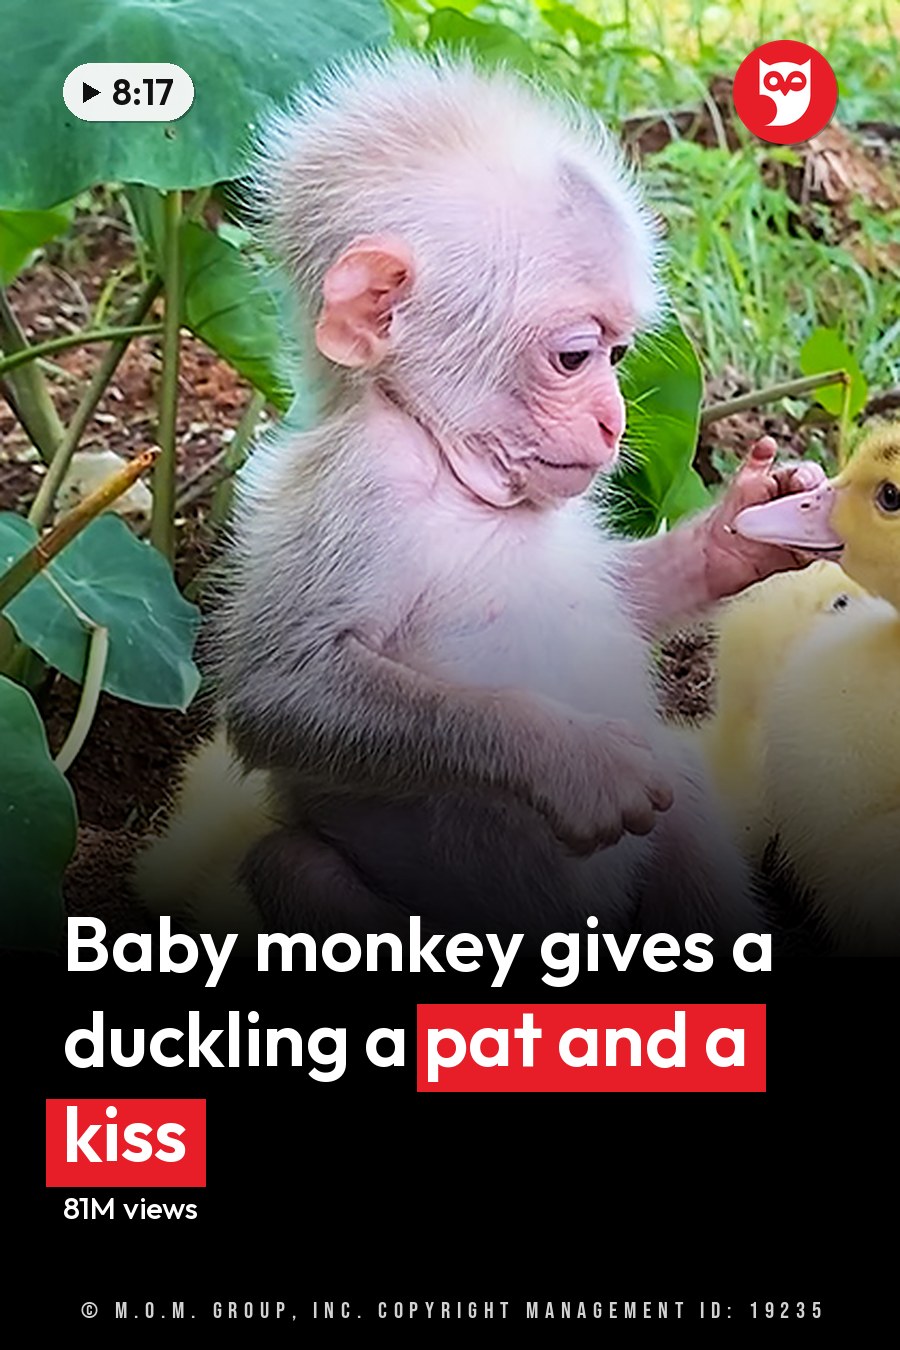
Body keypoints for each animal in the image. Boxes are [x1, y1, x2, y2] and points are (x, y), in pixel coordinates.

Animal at [139, 52, 826, 942]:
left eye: (621, 354)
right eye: (575, 357)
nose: (612, 422)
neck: (445, 459)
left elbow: (627, 598)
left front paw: (736, 535)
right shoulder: (358, 489)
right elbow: (281, 696)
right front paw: (568, 758)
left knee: (682, 802)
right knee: (292, 868)